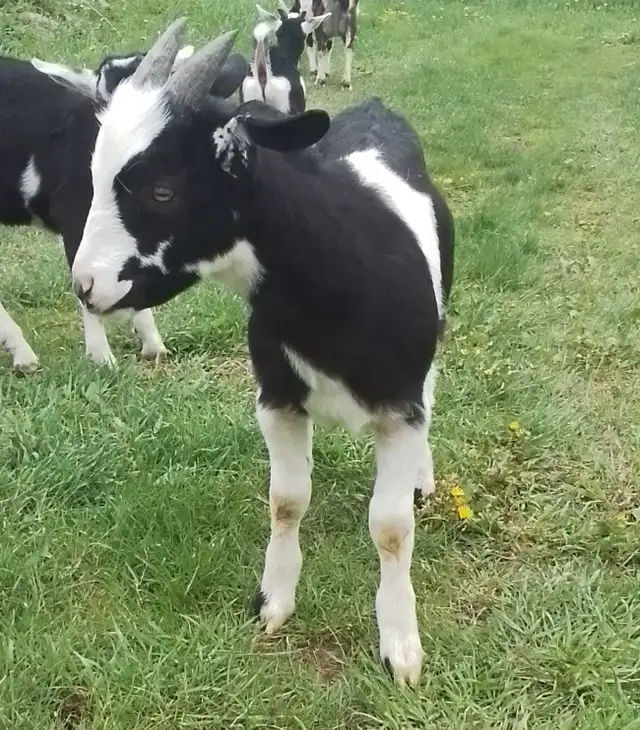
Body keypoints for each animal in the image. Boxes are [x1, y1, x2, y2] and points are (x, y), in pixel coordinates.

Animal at [71, 21, 455, 686]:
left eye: (162, 189)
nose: (85, 286)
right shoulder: (277, 399)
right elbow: (286, 501)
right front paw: (274, 601)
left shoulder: (399, 406)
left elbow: (390, 528)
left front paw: (401, 647)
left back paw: (423, 479)